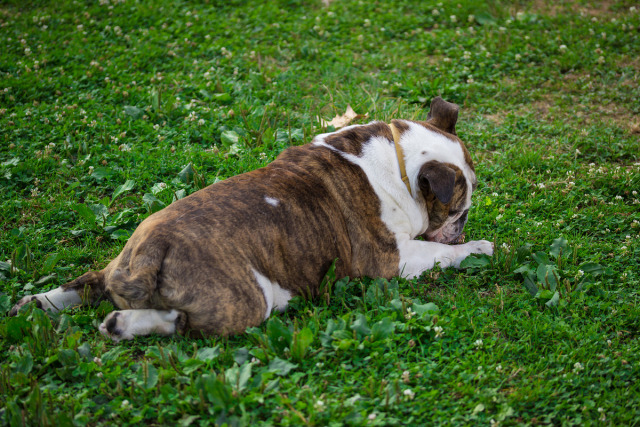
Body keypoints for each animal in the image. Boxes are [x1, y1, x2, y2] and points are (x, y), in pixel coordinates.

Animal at [8, 97, 490, 342]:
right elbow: (439, 253)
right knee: (182, 324)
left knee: (89, 283)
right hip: (249, 298)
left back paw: (38, 304)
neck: (399, 161)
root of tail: (152, 254)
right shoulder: (393, 260)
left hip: (120, 262)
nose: (460, 227)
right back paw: (123, 325)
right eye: (458, 210)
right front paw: (478, 248)